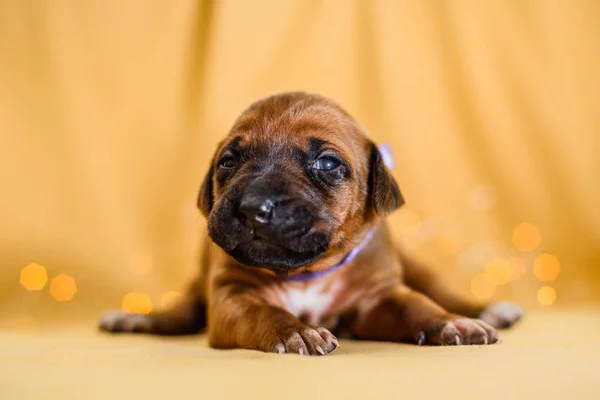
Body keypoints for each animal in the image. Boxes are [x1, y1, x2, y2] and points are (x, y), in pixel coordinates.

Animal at [98, 92, 520, 354]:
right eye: (227, 162)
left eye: (328, 163)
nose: (253, 207)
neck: (307, 274)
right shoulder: (233, 296)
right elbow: (262, 312)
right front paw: (296, 331)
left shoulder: (380, 299)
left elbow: (417, 306)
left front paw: (453, 324)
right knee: (182, 312)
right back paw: (134, 319)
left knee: (436, 288)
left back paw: (482, 311)